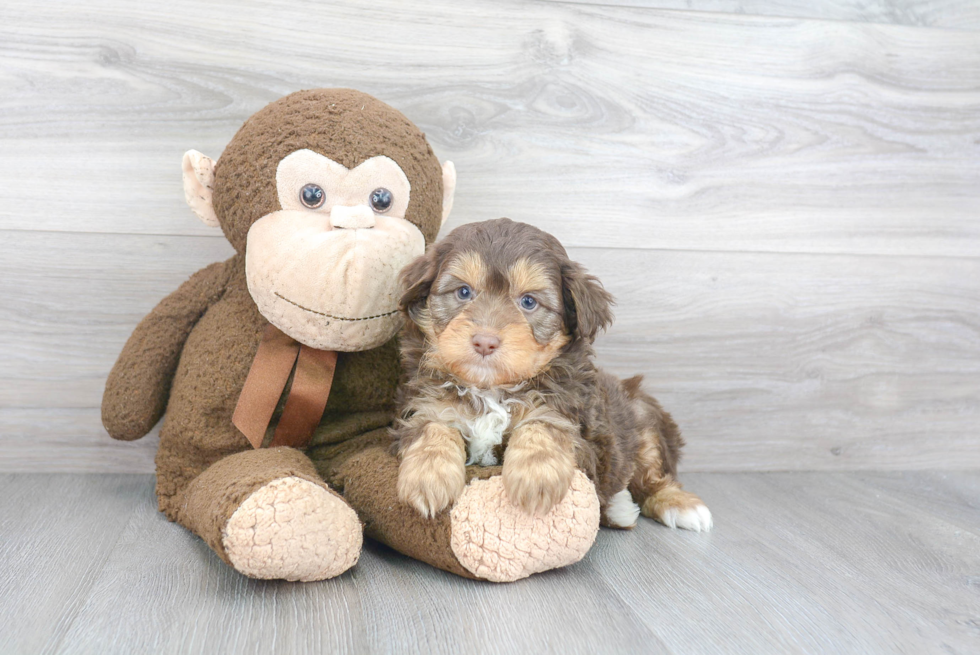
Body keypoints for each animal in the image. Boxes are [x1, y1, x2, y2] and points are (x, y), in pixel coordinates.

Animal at [392, 220, 712, 532]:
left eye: (529, 302)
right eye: (463, 292)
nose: (484, 341)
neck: (491, 389)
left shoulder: (578, 429)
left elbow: (543, 425)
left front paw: (536, 478)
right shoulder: (422, 405)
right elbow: (433, 426)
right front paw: (428, 476)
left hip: (643, 418)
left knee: (650, 476)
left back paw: (678, 505)